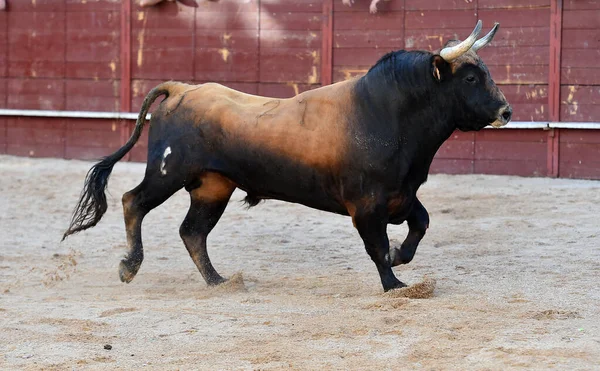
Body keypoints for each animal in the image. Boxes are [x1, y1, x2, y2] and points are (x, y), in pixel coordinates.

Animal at [63, 21, 510, 294]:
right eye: (471, 77)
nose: (506, 112)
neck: (389, 114)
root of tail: (182, 89)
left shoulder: (403, 195)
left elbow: (421, 223)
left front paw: (402, 258)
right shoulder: (366, 205)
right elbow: (377, 246)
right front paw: (394, 285)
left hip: (212, 187)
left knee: (192, 232)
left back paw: (219, 281)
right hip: (168, 171)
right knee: (133, 202)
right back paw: (130, 266)